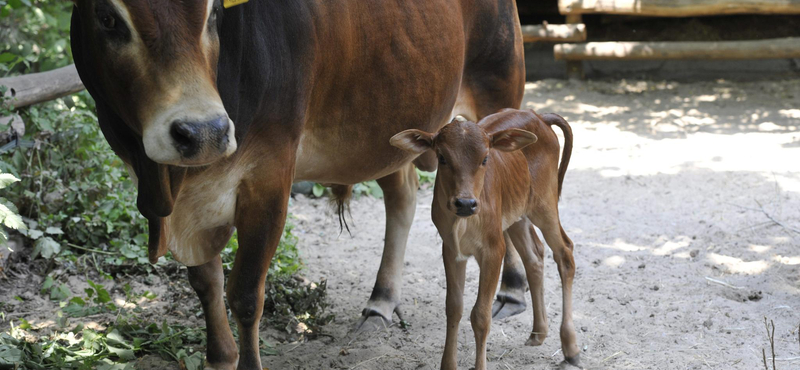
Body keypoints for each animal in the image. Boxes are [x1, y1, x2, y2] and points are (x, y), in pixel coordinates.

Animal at [70, 0, 532, 368]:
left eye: (213, 13)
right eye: (108, 17)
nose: (203, 132)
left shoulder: (269, 175)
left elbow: (245, 294)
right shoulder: (188, 202)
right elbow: (206, 284)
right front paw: (220, 356)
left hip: (495, 88)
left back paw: (511, 290)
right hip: (390, 122)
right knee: (401, 196)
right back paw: (381, 302)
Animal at [390, 108, 580, 368]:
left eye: (485, 159)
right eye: (442, 157)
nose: (465, 203)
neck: (463, 222)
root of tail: (539, 117)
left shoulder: (494, 249)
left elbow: (480, 314)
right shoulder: (451, 250)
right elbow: (454, 307)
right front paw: (448, 364)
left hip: (545, 203)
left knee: (565, 252)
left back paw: (570, 347)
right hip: (516, 213)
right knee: (534, 255)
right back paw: (538, 333)